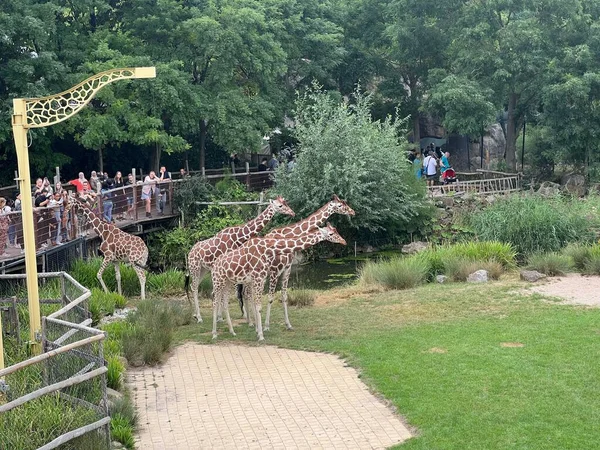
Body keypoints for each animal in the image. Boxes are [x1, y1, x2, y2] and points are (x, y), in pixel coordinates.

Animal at [211, 223, 346, 342]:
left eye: (336, 230)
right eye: (331, 233)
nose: (344, 241)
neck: (267, 248)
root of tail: (214, 265)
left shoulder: (266, 276)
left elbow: (276, 299)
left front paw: (265, 329)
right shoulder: (265, 275)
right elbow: (262, 303)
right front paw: (262, 333)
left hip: (228, 282)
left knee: (226, 302)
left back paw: (232, 331)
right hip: (218, 281)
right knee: (216, 302)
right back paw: (215, 333)